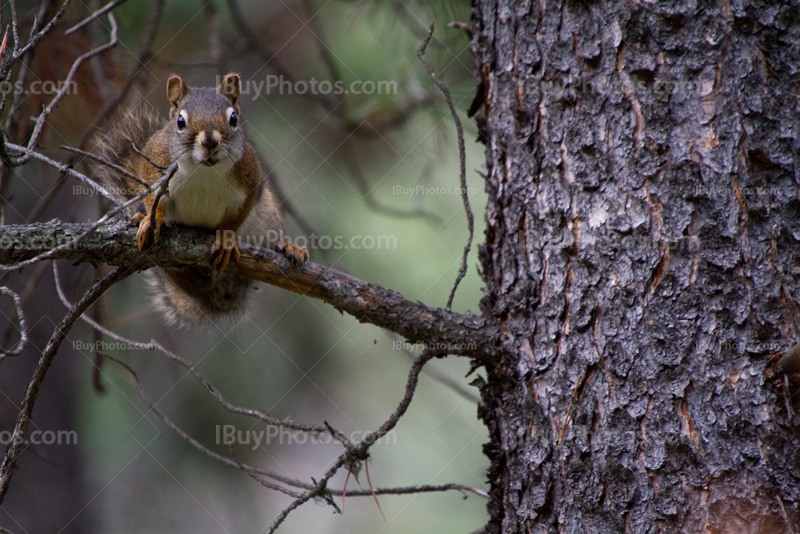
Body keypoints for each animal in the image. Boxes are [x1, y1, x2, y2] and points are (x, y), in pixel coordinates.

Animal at [92, 74, 308, 328]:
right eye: (180, 121)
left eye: (233, 118)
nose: (210, 141)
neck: (205, 169)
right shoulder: (155, 162)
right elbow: (152, 193)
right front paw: (152, 220)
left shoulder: (250, 177)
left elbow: (237, 215)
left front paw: (226, 239)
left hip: (268, 213)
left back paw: (289, 248)